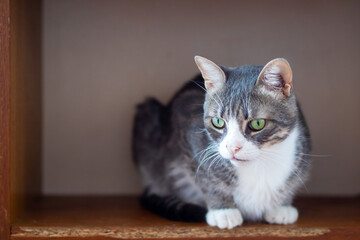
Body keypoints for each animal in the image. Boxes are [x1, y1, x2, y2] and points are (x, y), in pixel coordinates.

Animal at [132, 55, 310, 229]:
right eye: (218, 121)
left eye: (257, 124)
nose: (232, 147)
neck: (260, 164)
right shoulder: (187, 135)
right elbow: (207, 180)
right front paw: (224, 210)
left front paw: (281, 206)